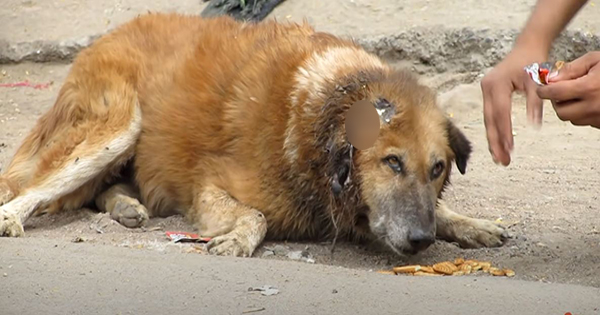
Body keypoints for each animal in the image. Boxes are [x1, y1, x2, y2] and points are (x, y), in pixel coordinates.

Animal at [0, 13, 506, 258]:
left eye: (437, 169)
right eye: (392, 162)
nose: (421, 241)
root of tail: (109, 35)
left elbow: (442, 210)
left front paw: (471, 223)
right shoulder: (210, 185)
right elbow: (256, 216)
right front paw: (240, 238)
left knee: (97, 190)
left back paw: (127, 206)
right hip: (119, 128)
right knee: (32, 190)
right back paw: (12, 218)